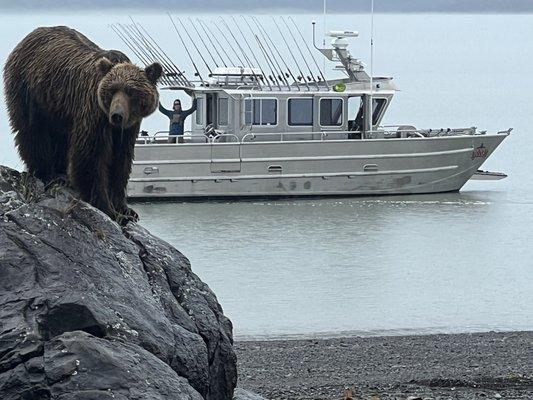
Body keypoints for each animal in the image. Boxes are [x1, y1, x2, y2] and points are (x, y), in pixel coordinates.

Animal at [3, 26, 161, 223]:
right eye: (112, 90)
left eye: (131, 91)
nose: (117, 115)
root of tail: (29, 36)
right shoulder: (93, 112)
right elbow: (91, 155)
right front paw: (107, 208)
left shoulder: (128, 129)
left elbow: (121, 160)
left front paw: (126, 210)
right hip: (30, 91)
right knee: (34, 132)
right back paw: (48, 174)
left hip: (57, 106)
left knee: (59, 139)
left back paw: (62, 175)